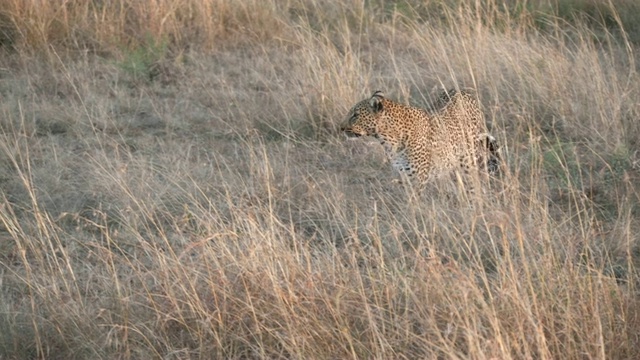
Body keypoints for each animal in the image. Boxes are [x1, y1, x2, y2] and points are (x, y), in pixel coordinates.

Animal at [340, 89, 500, 193]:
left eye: (355, 115)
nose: (341, 128)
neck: (388, 140)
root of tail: (463, 92)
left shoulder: (417, 180)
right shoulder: (404, 176)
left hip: (468, 159)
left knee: (474, 181)